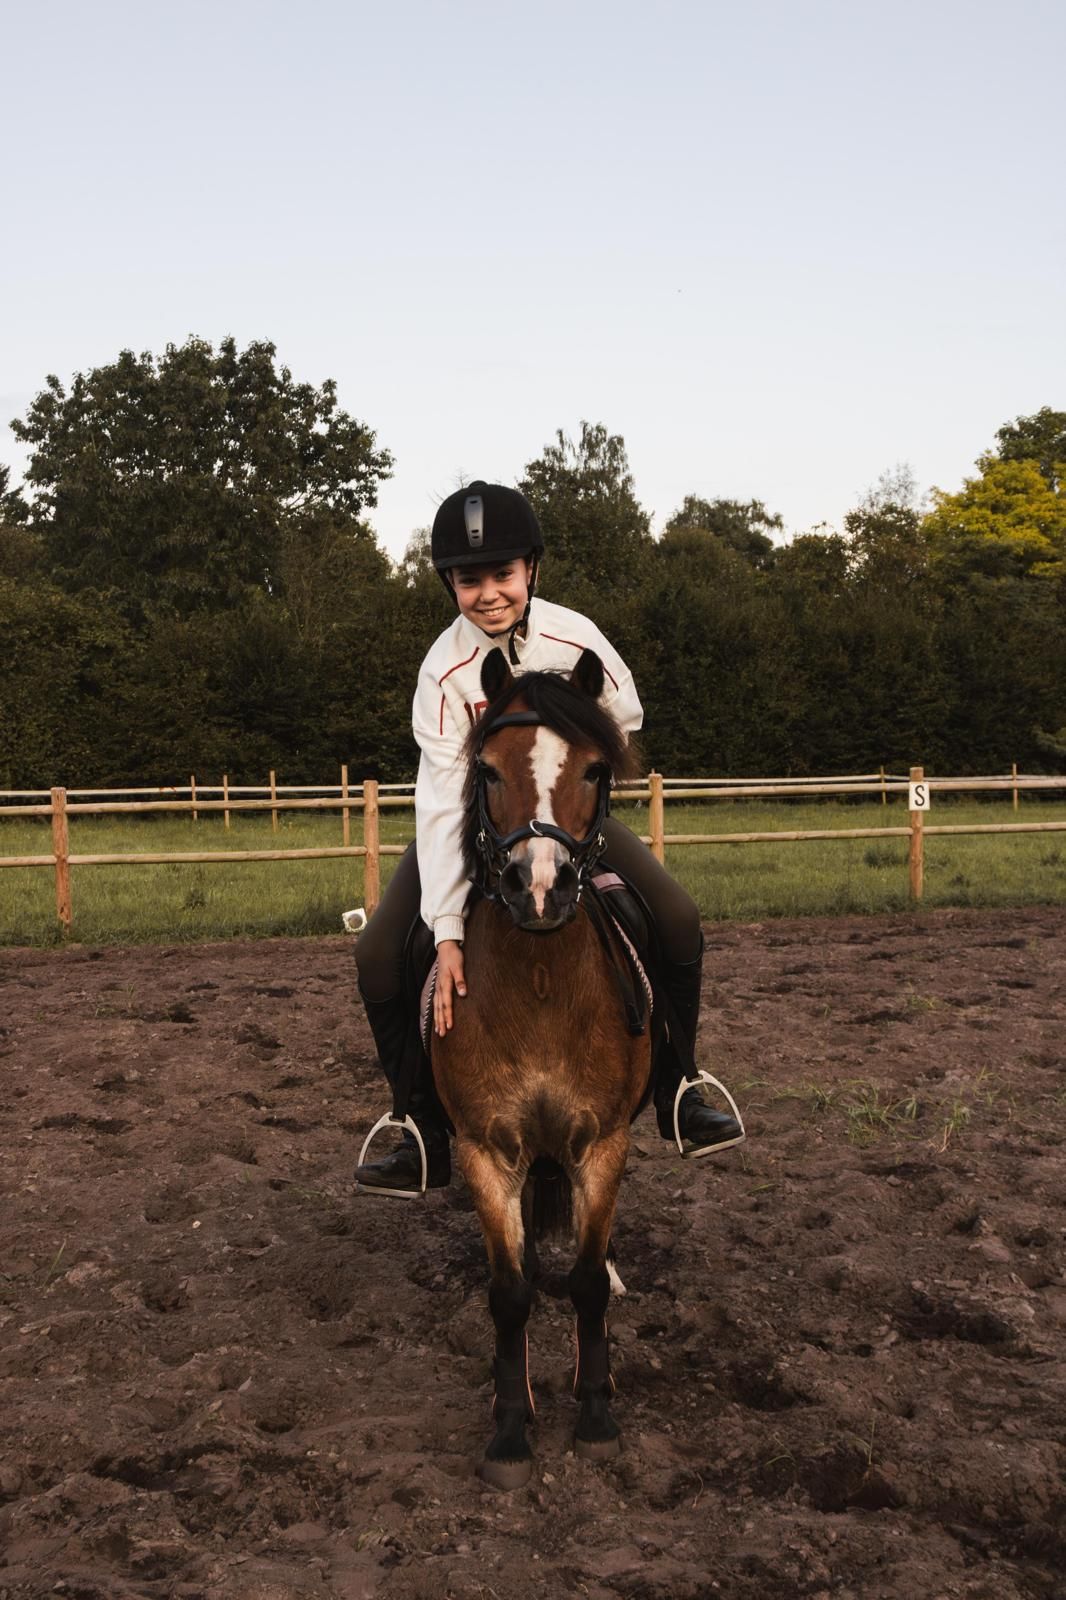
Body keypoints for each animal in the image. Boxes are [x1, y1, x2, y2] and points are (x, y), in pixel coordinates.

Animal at [430, 645, 652, 1489]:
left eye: (594, 768)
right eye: (487, 771)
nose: (541, 888)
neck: (542, 986)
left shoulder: (604, 1142)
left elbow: (585, 1283)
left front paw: (594, 1414)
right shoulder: (487, 1150)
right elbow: (510, 1293)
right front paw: (510, 1427)